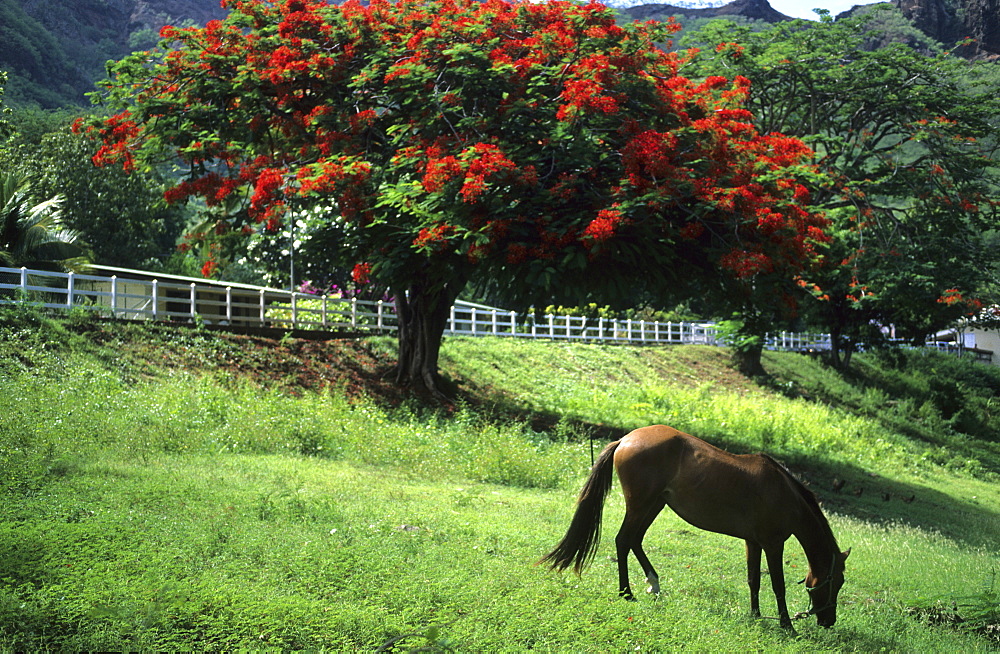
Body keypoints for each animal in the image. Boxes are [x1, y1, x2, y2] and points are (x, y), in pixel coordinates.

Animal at [544, 426, 848, 632]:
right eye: (837, 581)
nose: (828, 620)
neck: (784, 493)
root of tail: (626, 439)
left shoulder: (753, 542)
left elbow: (754, 580)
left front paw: (755, 615)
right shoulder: (773, 545)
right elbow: (778, 585)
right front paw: (786, 624)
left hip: (655, 504)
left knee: (634, 540)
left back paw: (653, 584)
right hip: (641, 504)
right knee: (623, 540)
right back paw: (626, 592)